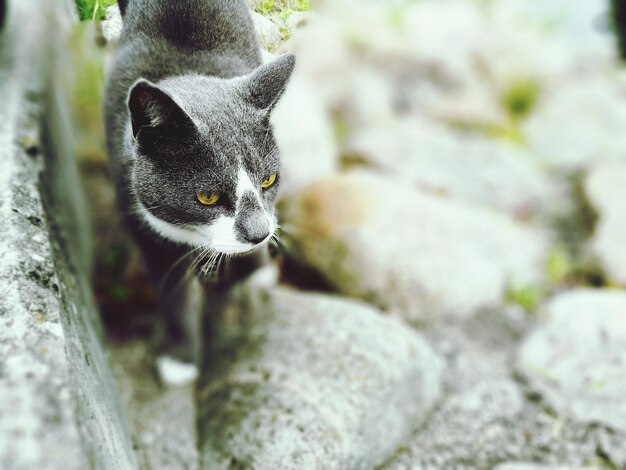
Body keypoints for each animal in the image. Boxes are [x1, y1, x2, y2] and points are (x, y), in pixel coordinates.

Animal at [104, 0, 292, 368]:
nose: (259, 234)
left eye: (268, 179)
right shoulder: (143, 224)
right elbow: (174, 294)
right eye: (207, 197)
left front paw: (256, 275)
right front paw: (182, 361)